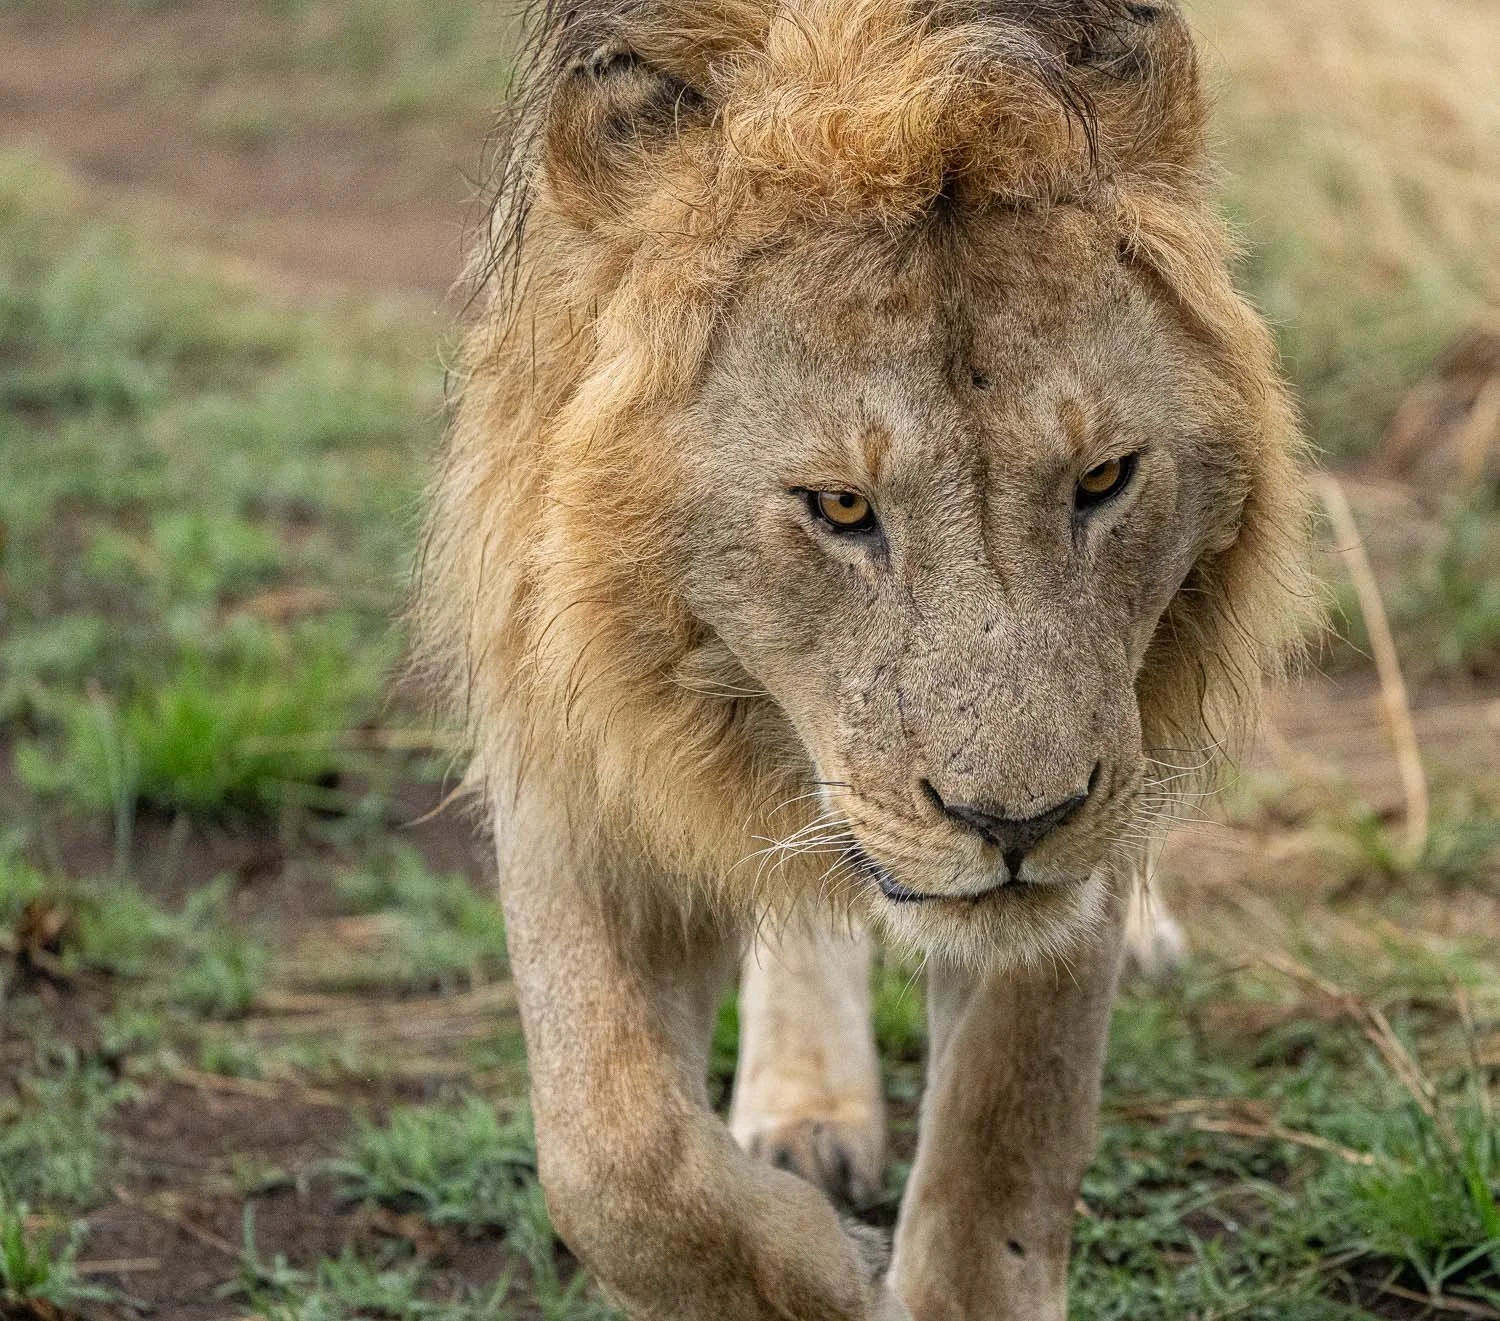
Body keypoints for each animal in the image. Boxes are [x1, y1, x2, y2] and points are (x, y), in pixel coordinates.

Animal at [415, 0, 1313, 1316]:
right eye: (841, 505)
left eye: (1104, 478)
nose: (1016, 825)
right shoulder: (565, 712)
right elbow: (613, 1156)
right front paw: (820, 1274)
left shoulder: (1101, 752)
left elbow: (1007, 1129)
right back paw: (803, 1110)